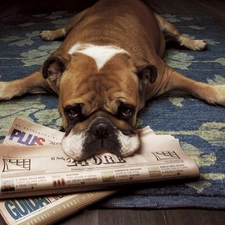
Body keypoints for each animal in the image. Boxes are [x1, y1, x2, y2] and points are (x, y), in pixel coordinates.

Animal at [0, 0, 225, 161]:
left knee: (178, 37)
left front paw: (219, 92)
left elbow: (198, 86)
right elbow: (20, 84)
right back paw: (50, 32)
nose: (101, 128)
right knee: (63, 29)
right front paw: (4, 88)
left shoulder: (164, 76)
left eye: (127, 111)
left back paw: (195, 43)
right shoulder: (45, 76)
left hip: (166, 24)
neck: (102, 44)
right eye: (72, 112)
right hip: (76, 17)